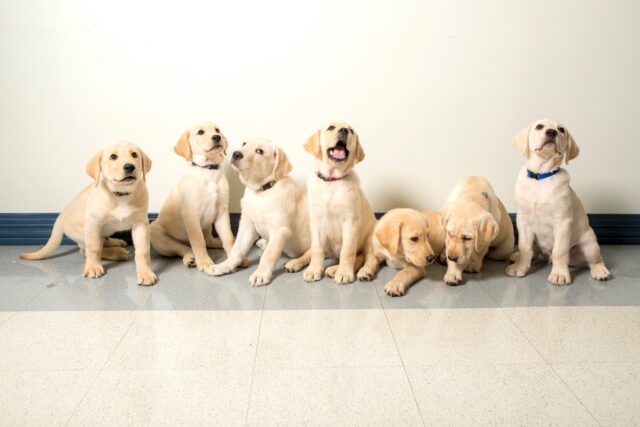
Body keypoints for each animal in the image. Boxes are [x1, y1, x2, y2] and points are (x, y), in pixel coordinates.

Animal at [20, 142, 158, 286]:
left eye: (134, 154)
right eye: (113, 157)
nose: (129, 166)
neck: (120, 195)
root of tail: (60, 218)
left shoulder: (141, 223)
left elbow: (143, 250)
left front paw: (145, 272)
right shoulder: (93, 222)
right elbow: (93, 248)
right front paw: (93, 267)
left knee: (102, 240)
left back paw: (116, 242)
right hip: (82, 233)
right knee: (86, 249)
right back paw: (117, 253)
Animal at [150, 121, 235, 274]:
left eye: (217, 130)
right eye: (200, 132)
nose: (217, 137)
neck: (208, 170)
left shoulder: (222, 211)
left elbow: (228, 237)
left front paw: (236, 256)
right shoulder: (191, 214)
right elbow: (198, 241)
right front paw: (205, 262)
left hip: (207, 226)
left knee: (209, 240)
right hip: (157, 233)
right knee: (183, 248)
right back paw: (190, 258)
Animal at [209, 139, 312, 286]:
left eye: (259, 151)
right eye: (244, 143)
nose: (236, 154)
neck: (261, 192)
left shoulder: (280, 230)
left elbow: (268, 256)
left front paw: (261, 274)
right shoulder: (247, 226)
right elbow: (236, 250)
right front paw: (224, 266)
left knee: (310, 254)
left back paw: (294, 263)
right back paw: (263, 243)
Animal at [302, 120, 380, 284]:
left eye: (351, 131)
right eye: (331, 127)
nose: (344, 130)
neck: (332, 180)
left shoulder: (350, 222)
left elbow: (348, 251)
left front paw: (344, 272)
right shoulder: (316, 222)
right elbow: (317, 250)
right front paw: (313, 270)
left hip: (370, 239)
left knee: (369, 258)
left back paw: (361, 272)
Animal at [504, 118, 608, 286]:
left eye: (561, 130)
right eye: (539, 126)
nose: (552, 132)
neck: (541, 175)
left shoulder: (562, 222)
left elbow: (560, 251)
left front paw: (559, 275)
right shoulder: (523, 220)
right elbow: (525, 247)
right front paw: (519, 267)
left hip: (589, 243)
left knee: (595, 260)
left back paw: (600, 271)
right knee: (532, 252)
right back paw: (517, 257)